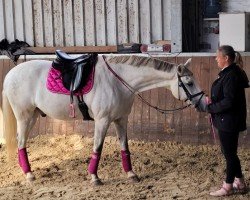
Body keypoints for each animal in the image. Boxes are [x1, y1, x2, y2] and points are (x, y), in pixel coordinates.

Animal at [1, 54, 206, 185]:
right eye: (189, 83)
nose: (203, 103)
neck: (118, 81)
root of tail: (10, 75)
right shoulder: (103, 120)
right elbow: (97, 148)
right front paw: (94, 177)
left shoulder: (121, 119)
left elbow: (125, 147)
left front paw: (131, 174)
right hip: (25, 117)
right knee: (21, 142)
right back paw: (29, 175)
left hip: (33, 116)